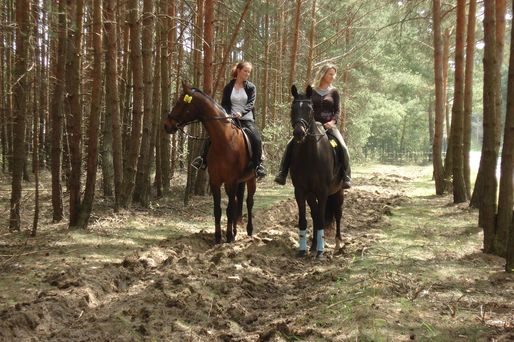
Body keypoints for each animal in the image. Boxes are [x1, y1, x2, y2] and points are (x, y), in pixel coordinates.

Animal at [163, 82, 255, 243]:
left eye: (179, 102)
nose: (167, 125)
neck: (224, 141)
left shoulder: (230, 181)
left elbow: (230, 209)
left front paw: (228, 237)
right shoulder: (215, 181)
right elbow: (218, 210)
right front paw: (218, 238)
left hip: (251, 179)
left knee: (249, 202)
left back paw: (249, 231)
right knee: (237, 202)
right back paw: (235, 232)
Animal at [288, 85, 344, 256]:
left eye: (309, 109)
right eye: (293, 108)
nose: (299, 133)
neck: (310, 155)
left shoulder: (323, 190)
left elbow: (321, 218)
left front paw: (320, 252)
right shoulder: (301, 191)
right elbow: (305, 219)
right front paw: (303, 250)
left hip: (338, 191)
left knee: (338, 214)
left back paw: (337, 244)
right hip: (311, 194)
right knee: (315, 214)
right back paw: (312, 246)